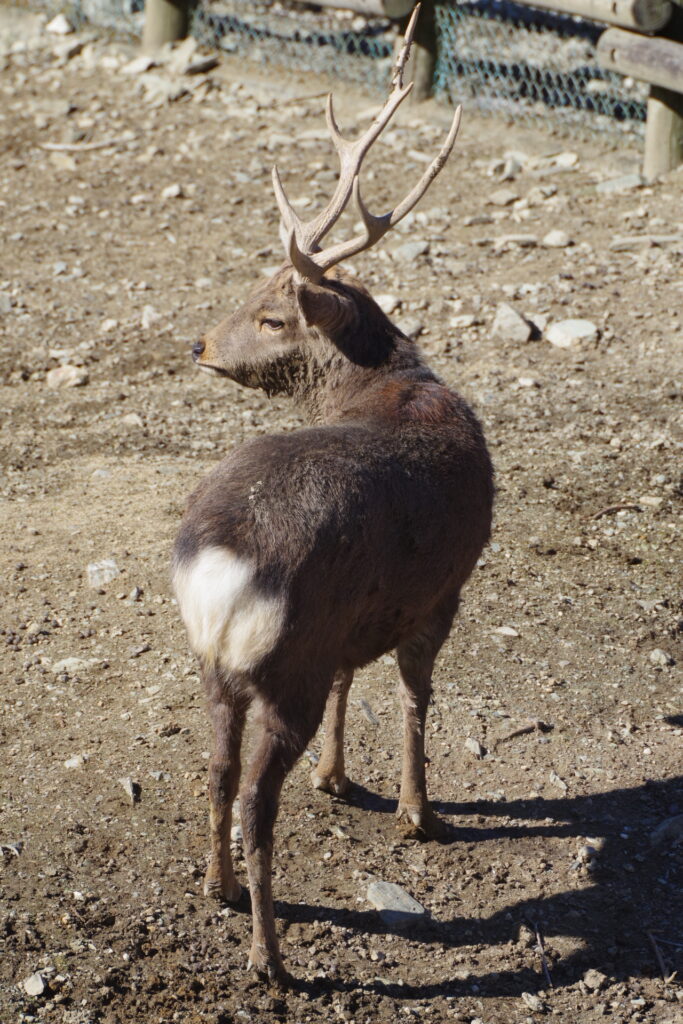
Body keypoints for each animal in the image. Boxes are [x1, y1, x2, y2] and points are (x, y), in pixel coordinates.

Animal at [171, 6, 491, 983]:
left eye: (270, 310)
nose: (199, 343)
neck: (389, 382)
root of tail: (219, 562)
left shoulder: (364, 605)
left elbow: (361, 672)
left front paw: (340, 777)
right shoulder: (444, 586)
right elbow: (417, 695)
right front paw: (420, 813)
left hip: (219, 664)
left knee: (215, 769)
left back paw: (216, 886)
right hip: (287, 664)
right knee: (255, 801)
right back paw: (268, 955)